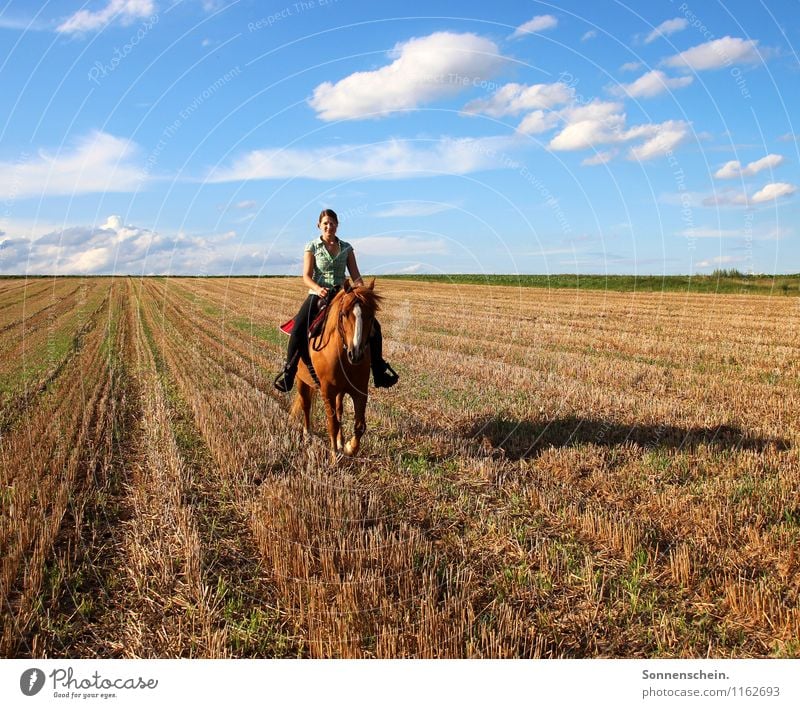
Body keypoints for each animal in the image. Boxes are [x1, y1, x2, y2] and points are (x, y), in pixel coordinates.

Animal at [290, 276, 384, 460]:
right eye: (343, 314)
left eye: (371, 316)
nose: (355, 354)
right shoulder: (327, 391)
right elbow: (332, 423)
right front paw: (334, 457)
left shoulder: (359, 391)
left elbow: (359, 425)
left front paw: (348, 448)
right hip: (301, 381)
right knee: (306, 405)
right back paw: (307, 434)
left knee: (339, 411)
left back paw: (340, 442)